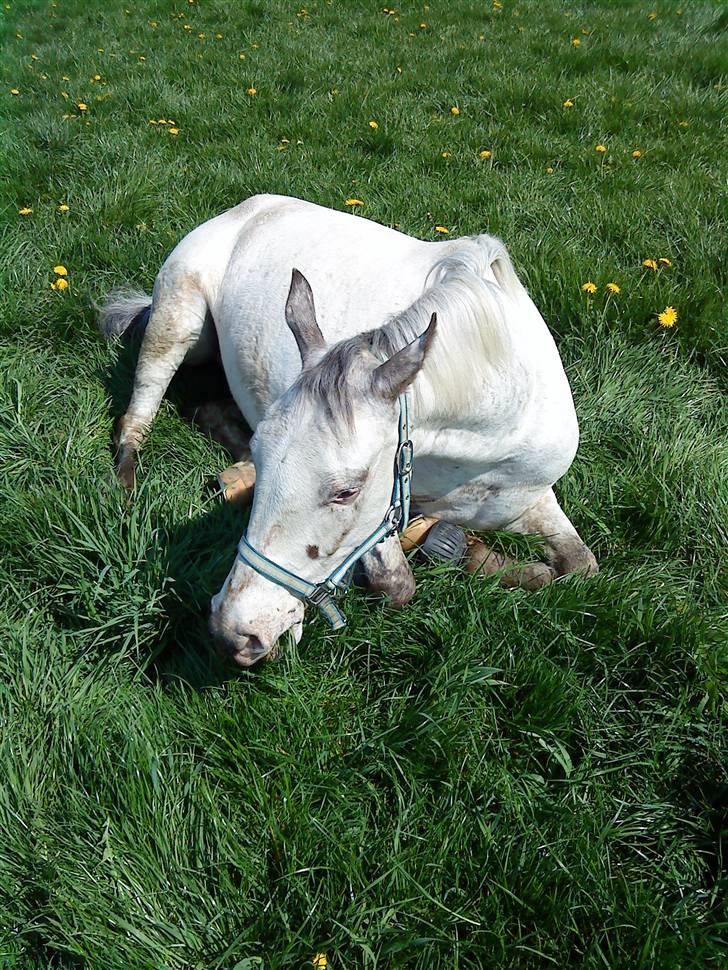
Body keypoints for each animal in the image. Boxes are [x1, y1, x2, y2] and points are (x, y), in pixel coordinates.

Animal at [101, 195, 596, 664]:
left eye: (347, 492)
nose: (234, 632)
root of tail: (243, 210)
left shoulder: (527, 498)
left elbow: (581, 566)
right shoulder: (388, 511)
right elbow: (398, 583)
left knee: (204, 408)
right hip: (178, 320)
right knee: (138, 416)